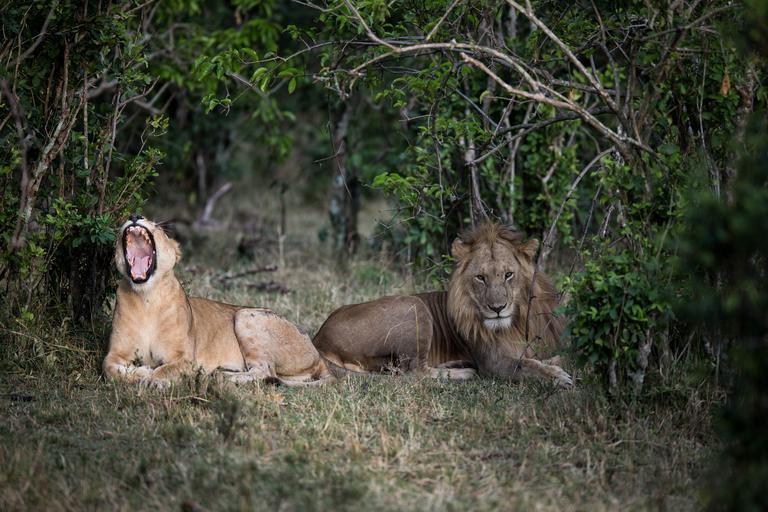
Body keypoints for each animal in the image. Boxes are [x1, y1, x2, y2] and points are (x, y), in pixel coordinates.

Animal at [103, 214, 333, 388]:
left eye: (159, 228)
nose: (134, 216)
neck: (146, 298)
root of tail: (318, 354)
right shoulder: (115, 353)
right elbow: (108, 368)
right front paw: (141, 371)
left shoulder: (186, 359)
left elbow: (166, 369)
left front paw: (153, 379)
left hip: (246, 315)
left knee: (266, 371)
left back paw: (220, 376)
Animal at [313, 222, 573, 387]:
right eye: (480, 278)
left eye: (509, 275)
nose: (498, 308)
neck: (515, 322)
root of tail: (319, 338)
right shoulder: (493, 363)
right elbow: (527, 367)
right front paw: (559, 377)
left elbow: (538, 358)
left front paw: (556, 364)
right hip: (414, 305)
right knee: (413, 373)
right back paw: (465, 372)